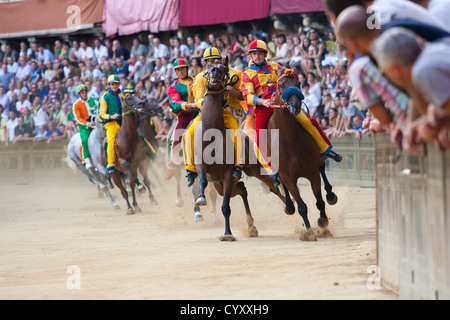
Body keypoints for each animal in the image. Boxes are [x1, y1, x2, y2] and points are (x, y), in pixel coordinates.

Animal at [192, 57, 284, 241]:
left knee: (273, 186)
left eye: (223, 68)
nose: (214, 72)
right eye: (209, 67)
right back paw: (251, 225)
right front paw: (201, 199)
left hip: (255, 169)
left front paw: (227, 233)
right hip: (219, 183)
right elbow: (203, 180)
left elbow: (225, 207)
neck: (212, 135)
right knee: (242, 188)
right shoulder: (202, 165)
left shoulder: (228, 172)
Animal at [268, 69, 338, 241]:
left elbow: (319, 201)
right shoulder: (287, 176)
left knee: (323, 170)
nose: (295, 106)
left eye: (298, 83)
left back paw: (331, 195)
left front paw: (323, 221)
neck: (290, 139)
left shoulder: (312, 172)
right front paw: (309, 232)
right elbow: (301, 206)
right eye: (281, 85)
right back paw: (289, 206)